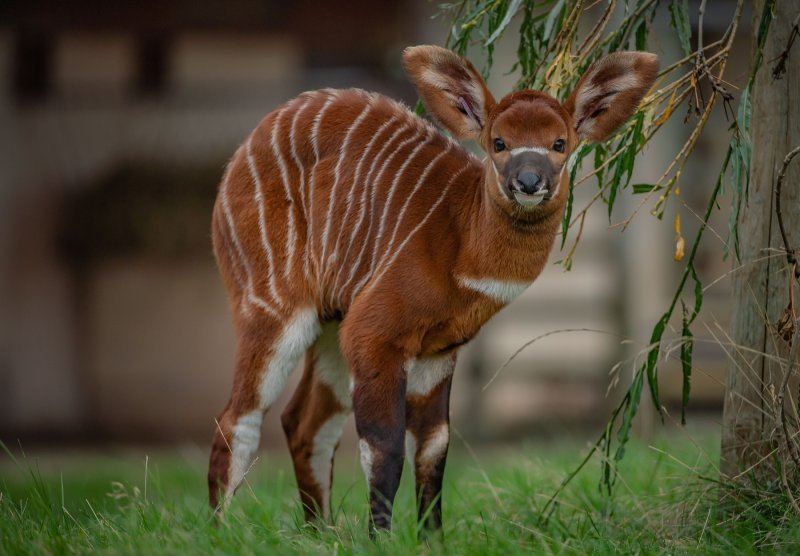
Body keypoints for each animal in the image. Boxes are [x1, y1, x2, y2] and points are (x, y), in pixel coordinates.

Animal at [206, 45, 656, 532]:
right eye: (499, 142)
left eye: (560, 143)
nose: (528, 182)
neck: (460, 239)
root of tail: (242, 153)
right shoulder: (375, 334)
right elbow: (383, 447)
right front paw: (381, 538)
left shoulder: (436, 352)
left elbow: (434, 448)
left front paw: (430, 538)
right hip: (272, 307)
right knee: (238, 418)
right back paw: (221, 533)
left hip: (331, 325)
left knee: (303, 421)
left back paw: (320, 533)